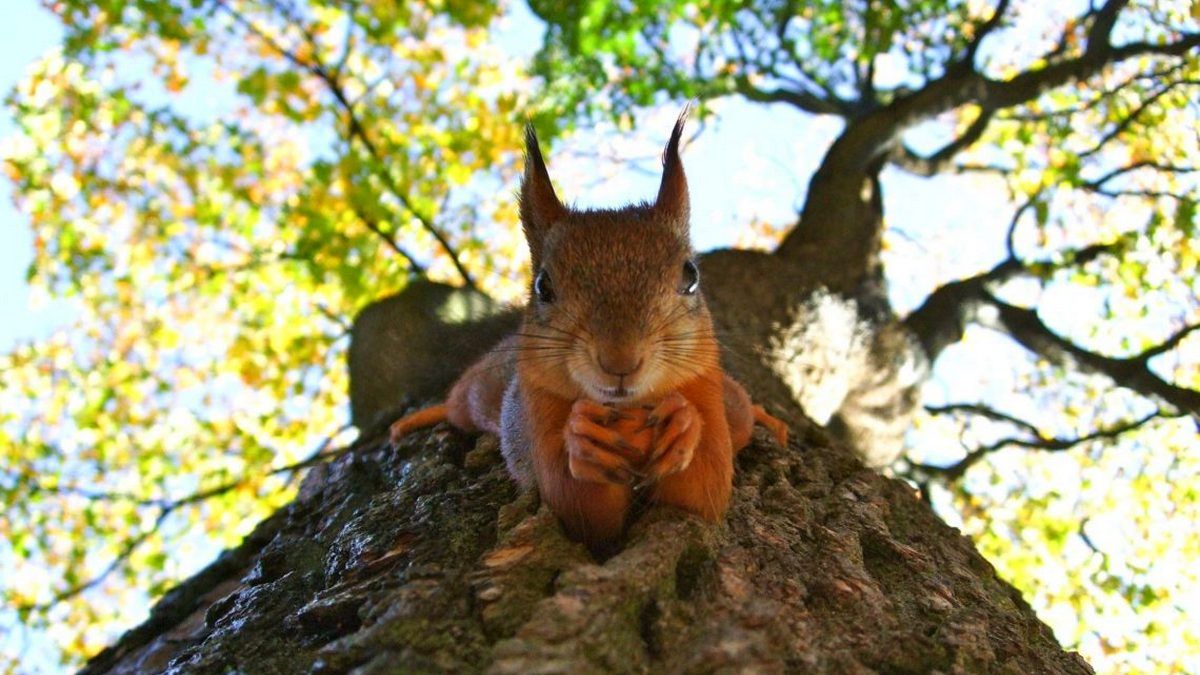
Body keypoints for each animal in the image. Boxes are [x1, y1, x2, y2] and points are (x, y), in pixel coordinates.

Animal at [388, 110, 792, 550]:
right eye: (543, 286)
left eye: (691, 276)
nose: (620, 361)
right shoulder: (538, 410)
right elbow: (580, 509)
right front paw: (583, 440)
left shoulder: (705, 390)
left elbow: (704, 492)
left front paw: (683, 423)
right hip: (480, 392)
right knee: (457, 404)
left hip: (731, 404)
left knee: (742, 410)